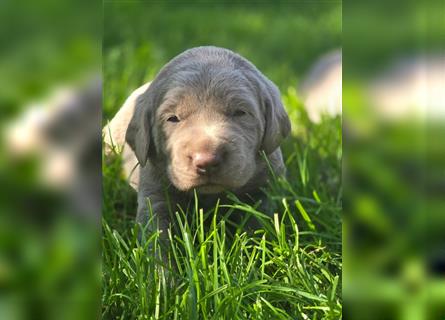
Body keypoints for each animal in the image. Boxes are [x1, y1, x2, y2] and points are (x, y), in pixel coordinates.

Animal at [125, 45, 292, 235]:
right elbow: (155, 230)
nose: (206, 161)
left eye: (240, 112)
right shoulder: (155, 193)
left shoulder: (266, 188)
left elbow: (258, 222)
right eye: (172, 118)